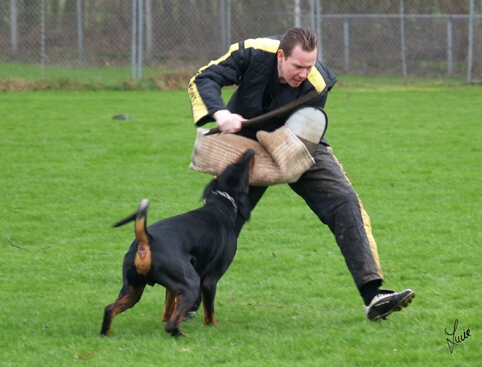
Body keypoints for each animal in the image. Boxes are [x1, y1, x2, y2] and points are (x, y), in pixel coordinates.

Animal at [100, 149, 256, 336]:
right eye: (245, 171)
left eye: (231, 164)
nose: (251, 151)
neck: (220, 203)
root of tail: (146, 240)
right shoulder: (210, 280)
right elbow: (209, 312)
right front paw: (213, 325)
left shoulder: (173, 288)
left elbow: (168, 306)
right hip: (191, 285)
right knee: (172, 325)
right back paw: (183, 334)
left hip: (133, 289)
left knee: (110, 309)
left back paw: (105, 335)